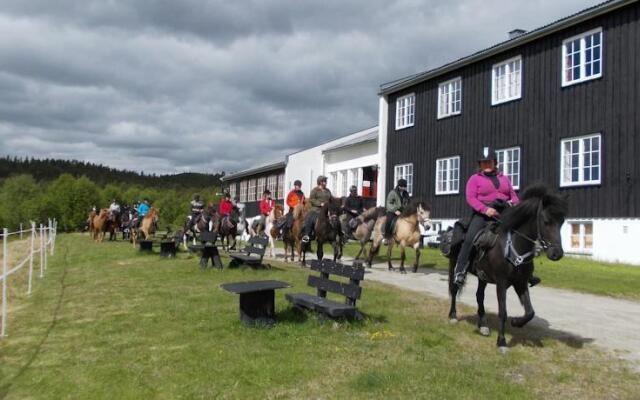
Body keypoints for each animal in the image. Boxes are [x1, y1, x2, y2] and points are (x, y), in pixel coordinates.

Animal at [448, 184, 568, 350]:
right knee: (454, 289)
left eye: (562, 221)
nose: (557, 254)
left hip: (482, 276)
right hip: (455, 264)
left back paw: (483, 325)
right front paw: (502, 341)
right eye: (546, 221)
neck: (513, 245)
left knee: (479, 296)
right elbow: (503, 311)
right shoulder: (501, 282)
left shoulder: (521, 283)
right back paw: (453, 316)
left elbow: (530, 312)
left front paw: (516, 322)